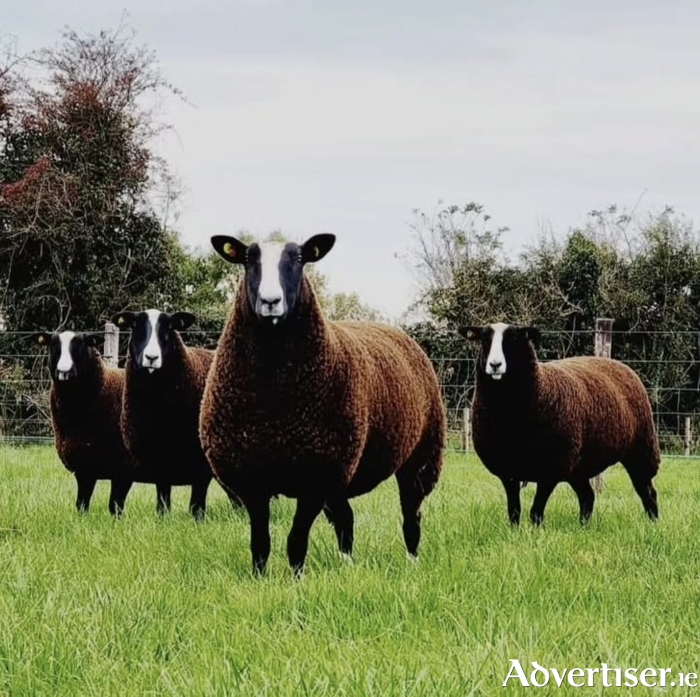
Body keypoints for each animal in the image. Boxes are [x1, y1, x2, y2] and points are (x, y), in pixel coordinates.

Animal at [33, 330, 137, 515]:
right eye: (53, 344)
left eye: (81, 345)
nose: (64, 371)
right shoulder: (84, 467)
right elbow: (81, 505)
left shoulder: (124, 468)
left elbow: (115, 507)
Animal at [111, 309, 241, 519]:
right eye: (135, 325)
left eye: (169, 327)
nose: (152, 357)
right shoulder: (160, 459)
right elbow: (163, 499)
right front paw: (163, 519)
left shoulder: (200, 464)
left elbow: (196, 504)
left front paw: (198, 521)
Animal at [200, 234, 446, 575]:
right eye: (248, 260)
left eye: (299, 259)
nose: (270, 301)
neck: (273, 409)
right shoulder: (253, 479)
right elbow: (260, 543)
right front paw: (260, 579)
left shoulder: (316, 478)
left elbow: (296, 541)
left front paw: (296, 580)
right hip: (343, 470)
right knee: (346, 519)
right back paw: (347, 565)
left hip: (420, 457)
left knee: (412, 514)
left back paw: (412, 561)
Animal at [459, 322, 660, 525]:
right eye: (484, 339)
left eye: (514, 339)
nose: (495, 365)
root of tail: (621, 365)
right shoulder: (508, 469)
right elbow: (514, 511)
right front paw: (514, 530)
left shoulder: (551, 468)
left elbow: (536, 511)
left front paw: (535, 530)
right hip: (578, 467)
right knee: (588, 496)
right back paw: (583, 526)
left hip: (641, 448)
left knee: (647, 491)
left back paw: (653, 523)